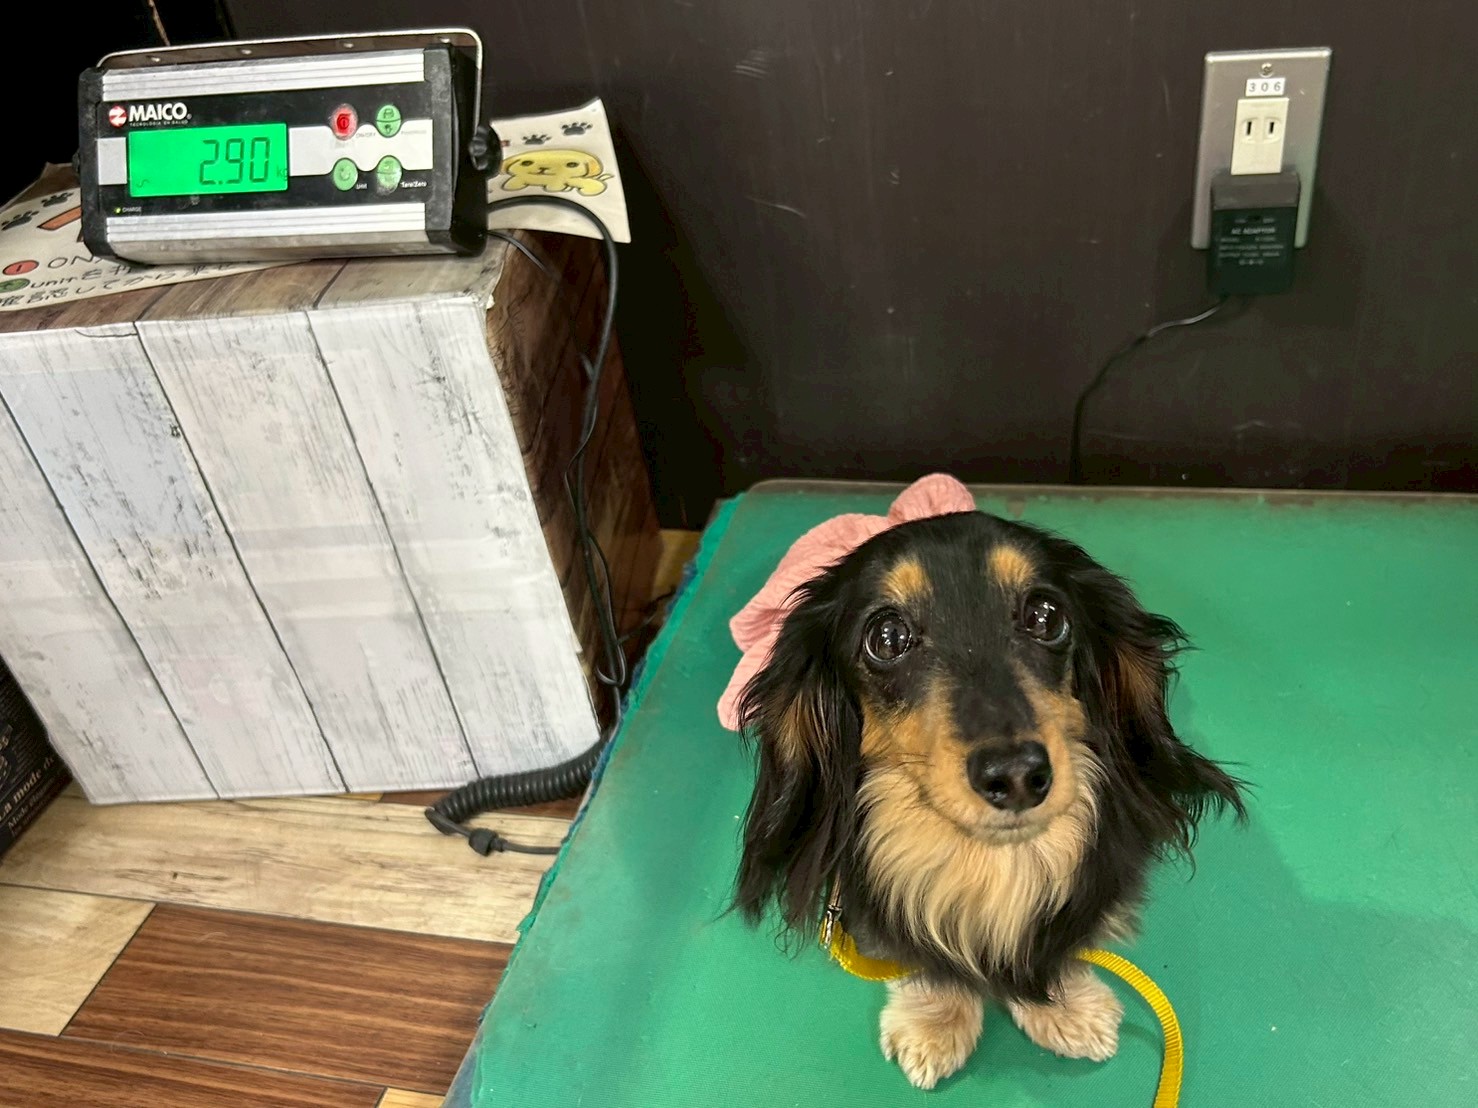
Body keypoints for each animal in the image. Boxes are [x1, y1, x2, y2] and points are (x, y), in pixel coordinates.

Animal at [734, 509, 1245, 1089]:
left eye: (1046, 616)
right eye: (886, 637)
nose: (1018, 775)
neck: (993, 861)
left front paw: (1066, 1007)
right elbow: (929, 962)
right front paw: (935, 1024)